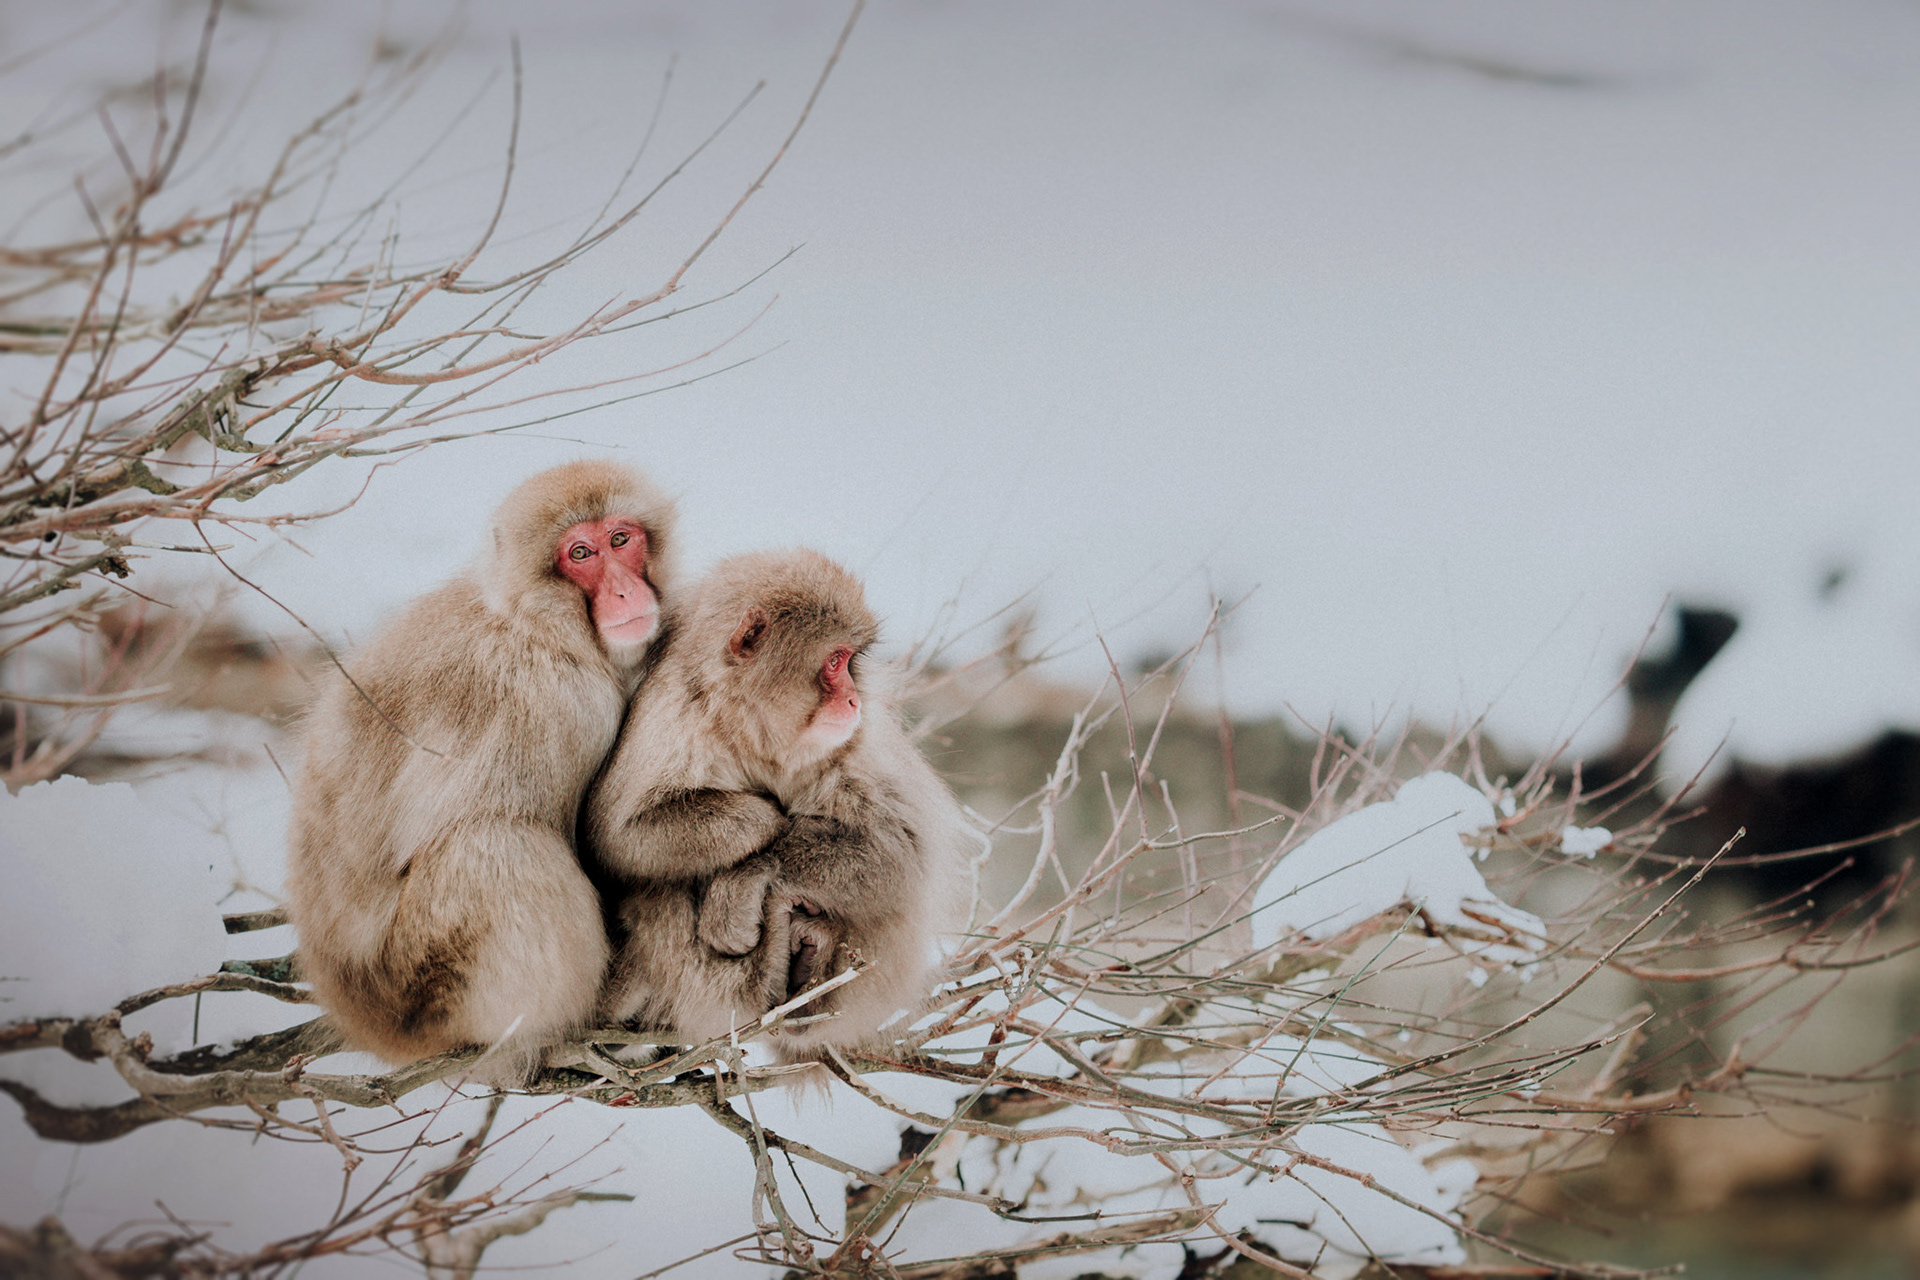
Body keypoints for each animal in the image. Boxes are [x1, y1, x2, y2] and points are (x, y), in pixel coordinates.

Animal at [285, 460, 676, 1083]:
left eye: (621, 539)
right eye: (581, 553)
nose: (624, 589)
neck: (539, 625)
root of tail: (369, 1025)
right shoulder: (559, 703)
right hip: (426, 985)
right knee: (495, 845)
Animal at [584, 549, 968, 1057]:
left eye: (850, 662)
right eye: (835, 661)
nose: (854, 700)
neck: (760, 735)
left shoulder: (853, 747)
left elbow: (899, 854)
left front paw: (745, 881)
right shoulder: (674, 712)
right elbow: (621, 837)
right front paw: (767, 818)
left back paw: (806, 971)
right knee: (657, 887)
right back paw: (761, 979)